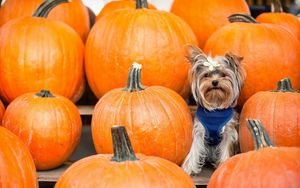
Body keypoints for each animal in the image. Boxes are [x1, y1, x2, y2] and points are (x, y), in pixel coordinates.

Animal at [182, 45, 245, 175]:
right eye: (206, 75)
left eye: (224, 75)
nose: (215, 82)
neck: (215, 104)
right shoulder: (199, 130)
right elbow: (194, 149)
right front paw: (188, 168)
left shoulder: (228, 132)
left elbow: (226, 148)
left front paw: (224, 164)